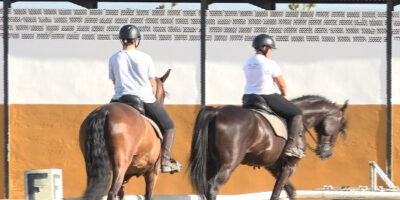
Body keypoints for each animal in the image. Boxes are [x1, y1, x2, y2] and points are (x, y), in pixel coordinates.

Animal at [79, 69, 171, 200]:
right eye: (164, 93)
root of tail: (105, 111)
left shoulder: (128, 174)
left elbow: (122, 194)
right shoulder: (153, 172)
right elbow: (148, 195)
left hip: (92, 166)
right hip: (121, 164)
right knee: (112, 192)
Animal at [189, 95, 348, 200]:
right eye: (339, 127)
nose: (326, 154)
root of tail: (216, 112)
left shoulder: (274, 166)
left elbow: (290, 191)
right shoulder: (290, 166)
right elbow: (277, 193)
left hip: (209, 162)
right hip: (228, 164)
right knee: (213, 186)